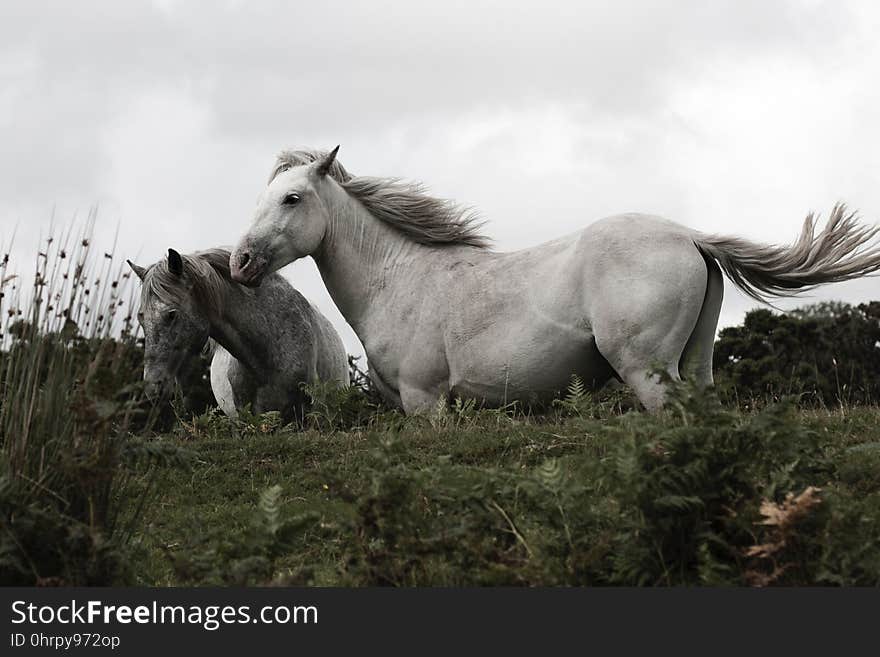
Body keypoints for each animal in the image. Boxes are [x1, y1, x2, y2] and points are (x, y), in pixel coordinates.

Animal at [229, 148, 880, 410]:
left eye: (290, 199)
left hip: (647, 371)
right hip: (696, 366)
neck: (400, 280)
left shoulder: (425, 402)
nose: (240, 263)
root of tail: (689, 236)